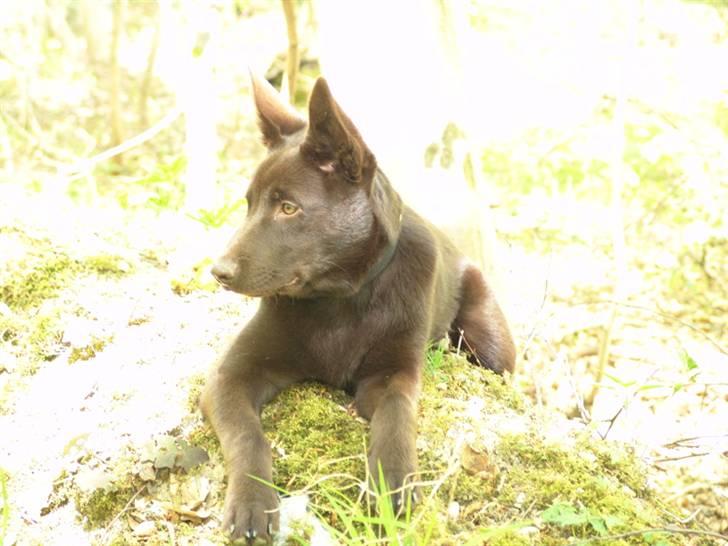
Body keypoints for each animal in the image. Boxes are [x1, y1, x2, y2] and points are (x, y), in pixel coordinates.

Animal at [200, 75, 516, 540]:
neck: (340, 300)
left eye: (288, 207)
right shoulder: (229, 376)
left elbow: (396, 416)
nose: (217, 272)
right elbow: (247, 436)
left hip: (490, 344)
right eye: (249, 204)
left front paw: (392, 482)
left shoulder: (394, 373)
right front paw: (252, 501)